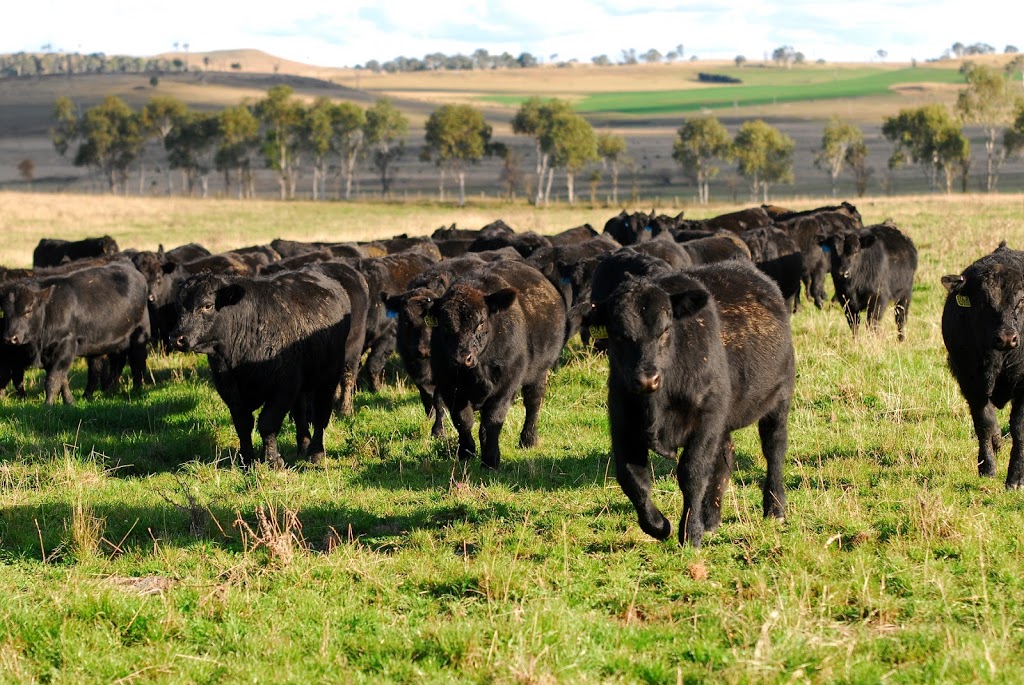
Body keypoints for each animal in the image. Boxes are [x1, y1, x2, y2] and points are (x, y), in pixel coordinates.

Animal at [0, 260, 150, 401]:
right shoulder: (49, 353)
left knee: (137, 361)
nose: (10, 338)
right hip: (105, 343)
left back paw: (136, 390)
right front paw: (69, 401)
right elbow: (62, 380)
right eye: (5, 312)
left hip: (139, 334)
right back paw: (99, 393)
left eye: (28, 310)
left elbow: (53, 379)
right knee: (105, 366)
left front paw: (48, 404)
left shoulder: (66, 345)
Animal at [171, 270, 352, 466]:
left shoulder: (283, 387)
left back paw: (316, 453)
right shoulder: (229, 390)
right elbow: (242, 424)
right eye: (178, 307)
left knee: (320, 413)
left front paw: (273, 460)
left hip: (329, 377)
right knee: (300, 413)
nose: (177, 338)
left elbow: (267, 423)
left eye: (207, 305)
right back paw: (303, 446)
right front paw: (247, 459)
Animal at [425, 259, 565, 466]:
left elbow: (492, 419)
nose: (462, 358)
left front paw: (491, 459)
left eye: (481, 322)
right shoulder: (450, 385)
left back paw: (528, 440)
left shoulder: (506, 384)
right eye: (444, 324)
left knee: (533, 403)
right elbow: (462, 420)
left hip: (539, 372)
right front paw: (466, 452)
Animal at [585, 259, 790, 548]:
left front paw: (690, 533)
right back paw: (711, 519)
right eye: (619, 335)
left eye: (665, 329)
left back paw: (774, 508)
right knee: (724, 459)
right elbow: (633, 479)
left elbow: (692, 473)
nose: (647, 379)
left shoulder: (705, 421)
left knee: (774, 448)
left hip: (778, 397)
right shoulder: (622, 424)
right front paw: (659, 526)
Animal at [942, 242, 1024, 483]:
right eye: (981, 302)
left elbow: (1019, 428)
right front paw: (987, 468)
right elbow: (984, 424)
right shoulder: (972, 382)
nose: (1007, 337)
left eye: (1022, 300)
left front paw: (1016, 478)